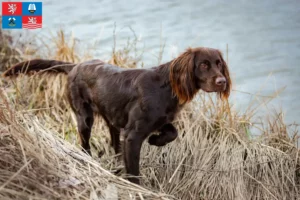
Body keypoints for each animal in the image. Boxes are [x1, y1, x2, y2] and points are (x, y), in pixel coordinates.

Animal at [2, 47, 232, 184]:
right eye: (203, 64)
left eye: (219, 63)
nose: (222, 81)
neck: (166, 87)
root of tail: (75, 65)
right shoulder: (133, 135)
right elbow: (134, 171)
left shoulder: (159, 121)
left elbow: (172, 132)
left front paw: (156, 140)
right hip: (84, 117)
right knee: (84, 145)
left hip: (111, 118)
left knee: (113, 143)